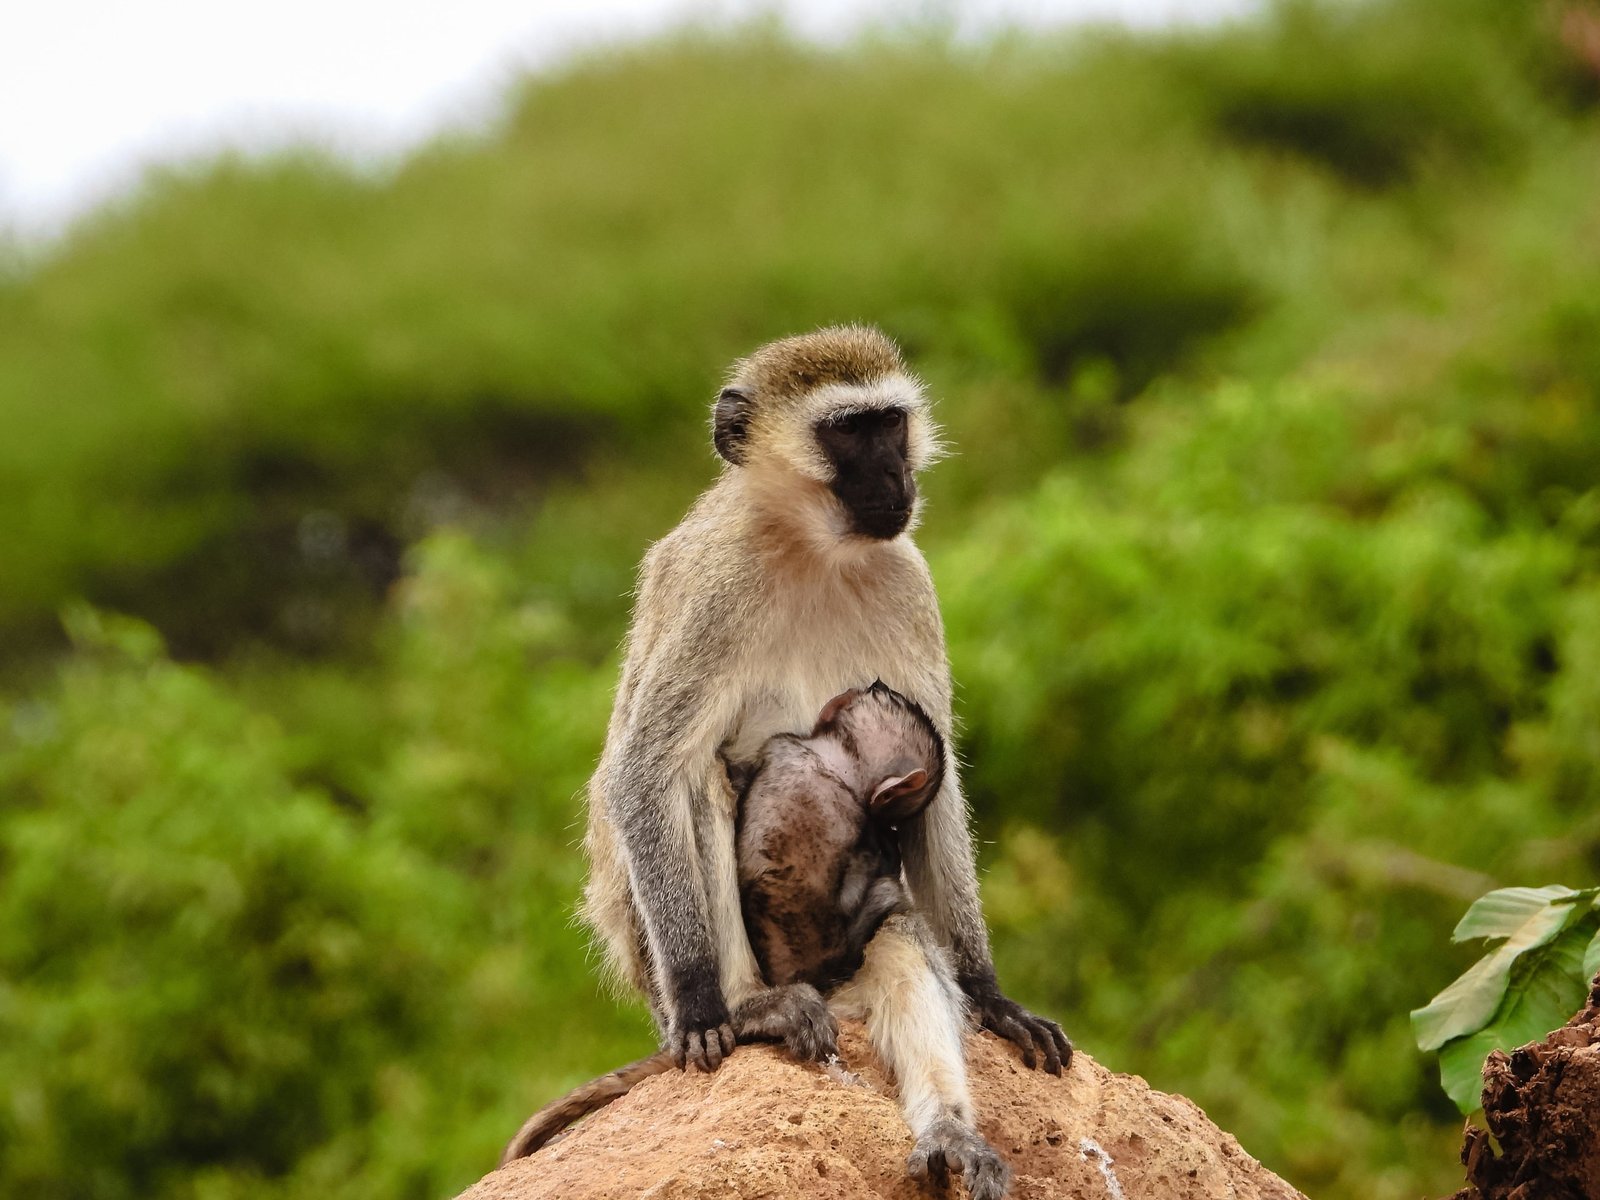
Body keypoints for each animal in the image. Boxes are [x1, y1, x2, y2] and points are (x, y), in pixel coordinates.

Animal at [582, 324, 1068, 1196]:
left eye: (890, 425)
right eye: (848, 433)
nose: (897, 476)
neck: (813, 550)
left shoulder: (909, 580)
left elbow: (936, 789)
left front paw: (990, 992)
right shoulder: (716, 590)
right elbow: (643, 769)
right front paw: (704, 1002)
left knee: (901, 932)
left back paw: (948, 1131)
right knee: (697, 777)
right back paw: (751, 1011)